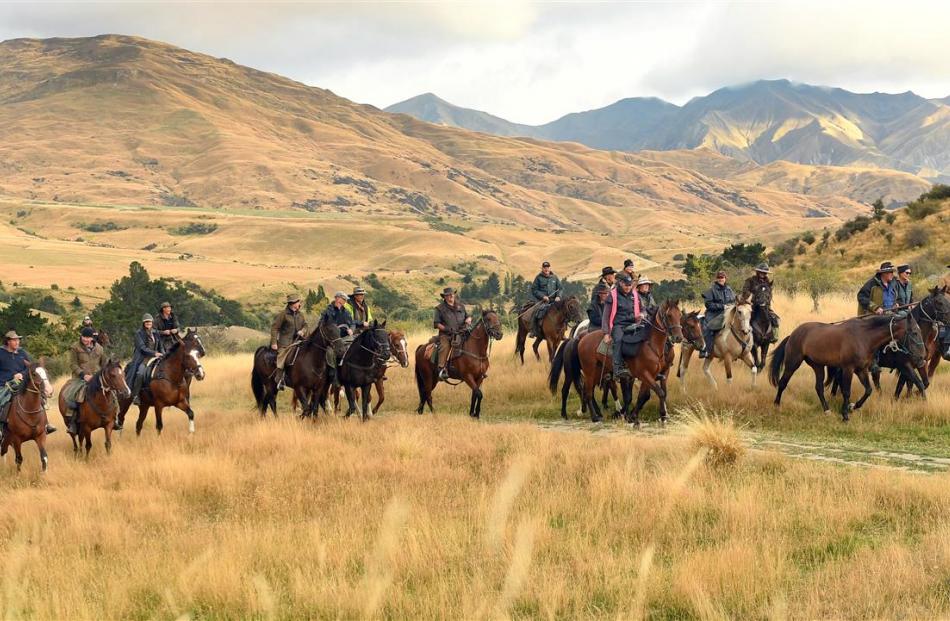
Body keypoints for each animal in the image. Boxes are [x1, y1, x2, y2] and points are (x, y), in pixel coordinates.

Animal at [772, 312, 928, 418]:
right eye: (914, 332)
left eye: (920, 331)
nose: (922, 357)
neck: (864, 337)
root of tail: (793, 334)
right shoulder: (848, 369)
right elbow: (847, 391)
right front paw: (845, 414)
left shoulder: (861, 370)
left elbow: (868, 390)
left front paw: (853, 407)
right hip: (793, 363)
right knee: (782, 382)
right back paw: (776, 405)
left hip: (818, 366)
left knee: (819, 388)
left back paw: (827, 410)